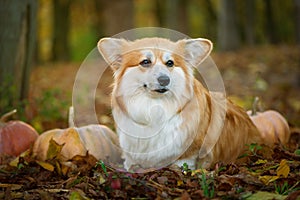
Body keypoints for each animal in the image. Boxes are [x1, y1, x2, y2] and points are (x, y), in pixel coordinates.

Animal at [97, 37, 262, 170]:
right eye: (145, 62)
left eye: (170, 63)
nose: (165, 80)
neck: (155, 108)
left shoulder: (190, 152)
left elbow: (183, 163)